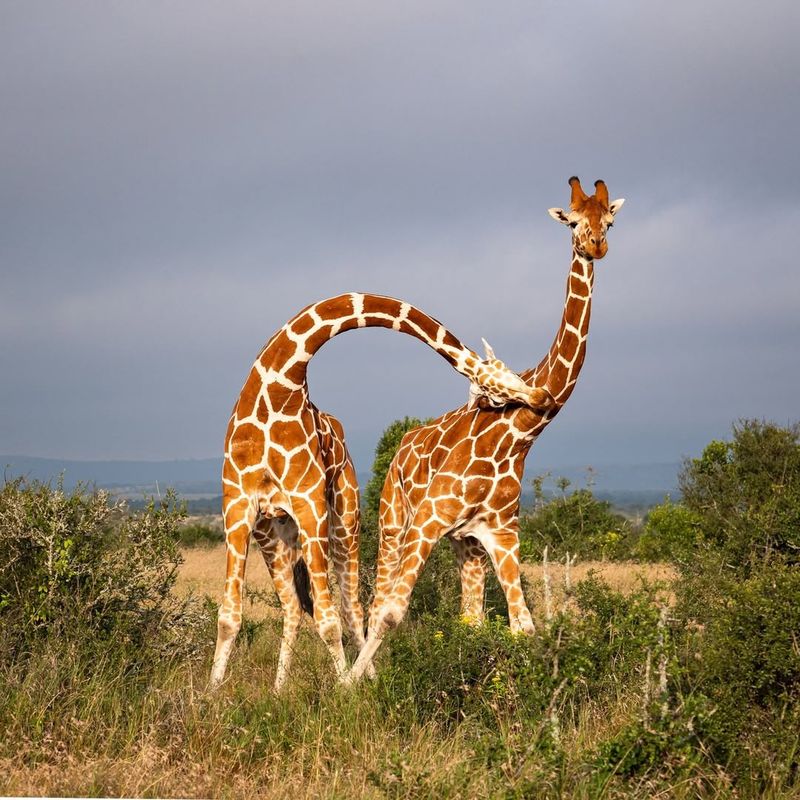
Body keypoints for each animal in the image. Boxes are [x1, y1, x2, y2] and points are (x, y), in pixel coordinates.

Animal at [209, 290, 552, 692]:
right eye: (497, 391)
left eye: (512, 375)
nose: (540, 396)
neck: (279, 388)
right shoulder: (237, 505)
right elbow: (229, 616)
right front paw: (209, 694)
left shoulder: (309, 504)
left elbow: (328, 618)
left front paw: (345, 690)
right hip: (273, 531)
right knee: (294, 604)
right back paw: (280, 690)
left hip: (343, 517)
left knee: (348, 606)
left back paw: (360, 679)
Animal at [346, 177, 624, 680]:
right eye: (573, 221)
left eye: (610, 221)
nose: (596, 245)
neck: (522, 433)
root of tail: (402, 446)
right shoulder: (428, 521)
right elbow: (390, 612)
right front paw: (349, 687)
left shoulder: (501, 534)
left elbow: (522, 627)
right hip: (394, 520)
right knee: (378, 599)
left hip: (466, 546)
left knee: (469, 616)